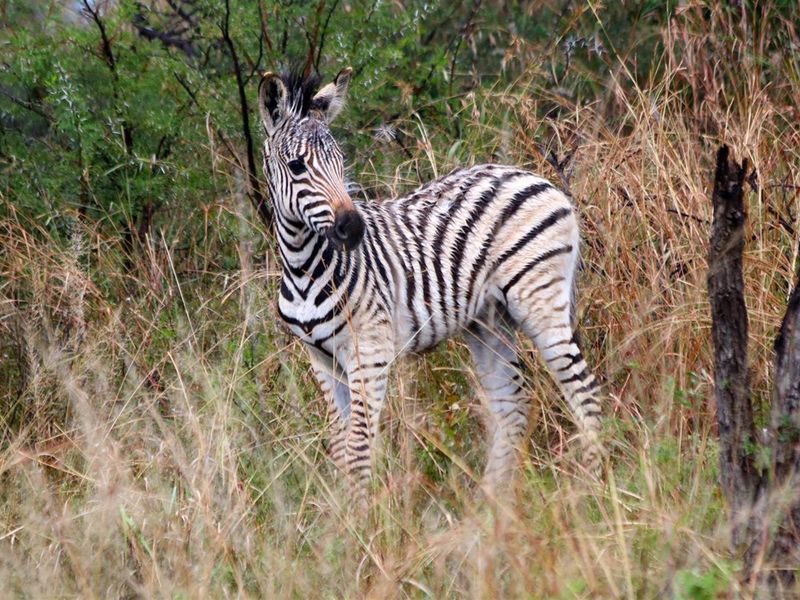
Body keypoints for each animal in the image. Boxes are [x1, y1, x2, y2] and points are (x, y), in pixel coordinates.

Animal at [257, 67, 603, 500]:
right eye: (296, 166)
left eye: (340, 162)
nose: (353, 229)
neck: (304, 266)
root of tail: (537, 177)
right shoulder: (320, 360)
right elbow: (340, 446)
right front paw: (344, 512)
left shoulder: (369, 351)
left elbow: (358, 448)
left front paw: (364, 515)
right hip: (489, 321)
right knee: (512, 407)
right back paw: (489, 505)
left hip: (538, 297)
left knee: (584, 394)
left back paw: (589, 489)